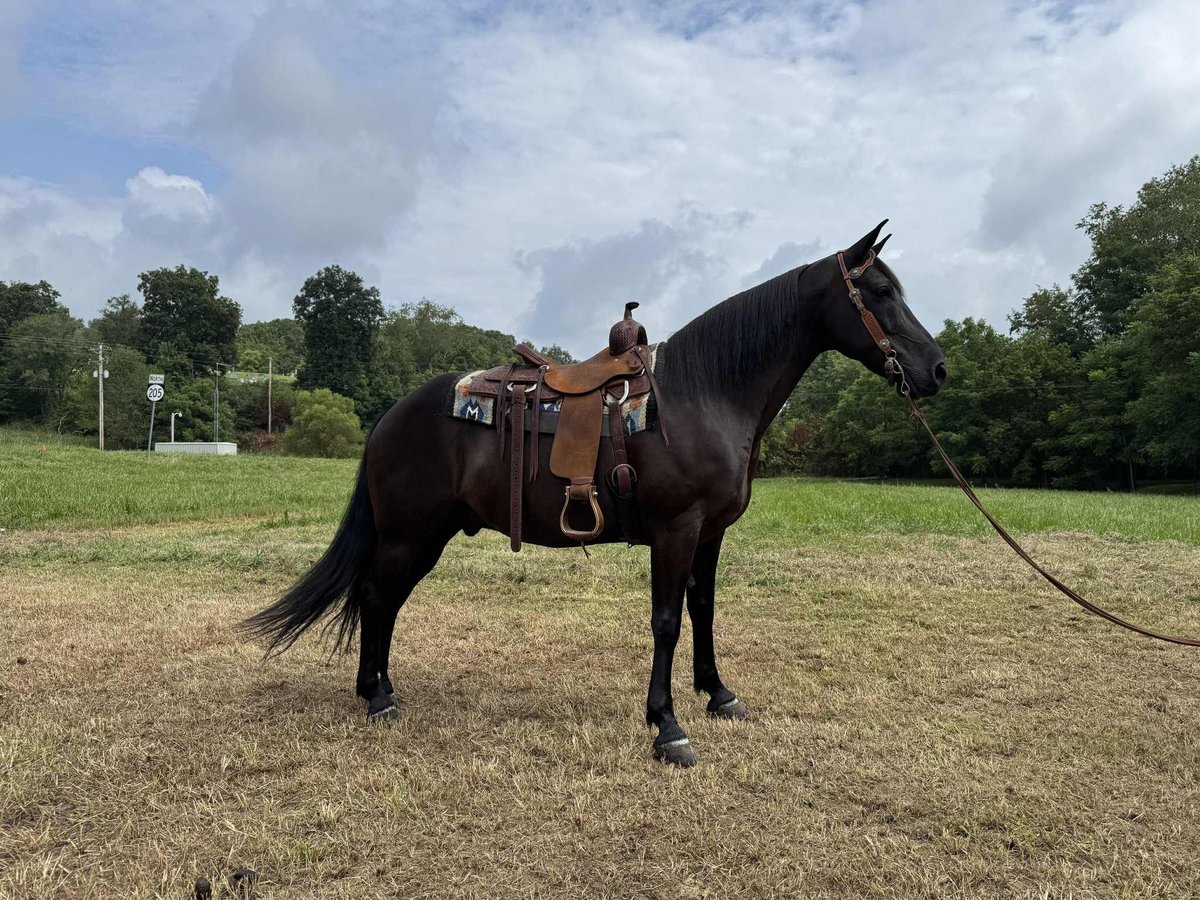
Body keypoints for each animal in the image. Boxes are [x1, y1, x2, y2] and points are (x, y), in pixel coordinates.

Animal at [243, 221, 946, 766]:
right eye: (880, 292)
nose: (936, 370)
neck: (703, 396)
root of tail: (390, 417)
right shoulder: (675, 529)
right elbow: (666, 621)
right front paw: (667, 728)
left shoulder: (710, 532)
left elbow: (703, 610)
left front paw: (719, 695)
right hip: (406, 534)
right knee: (374, 596)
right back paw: (377, 697)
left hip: (427, 536)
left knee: (384, 602)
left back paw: (382, 689)